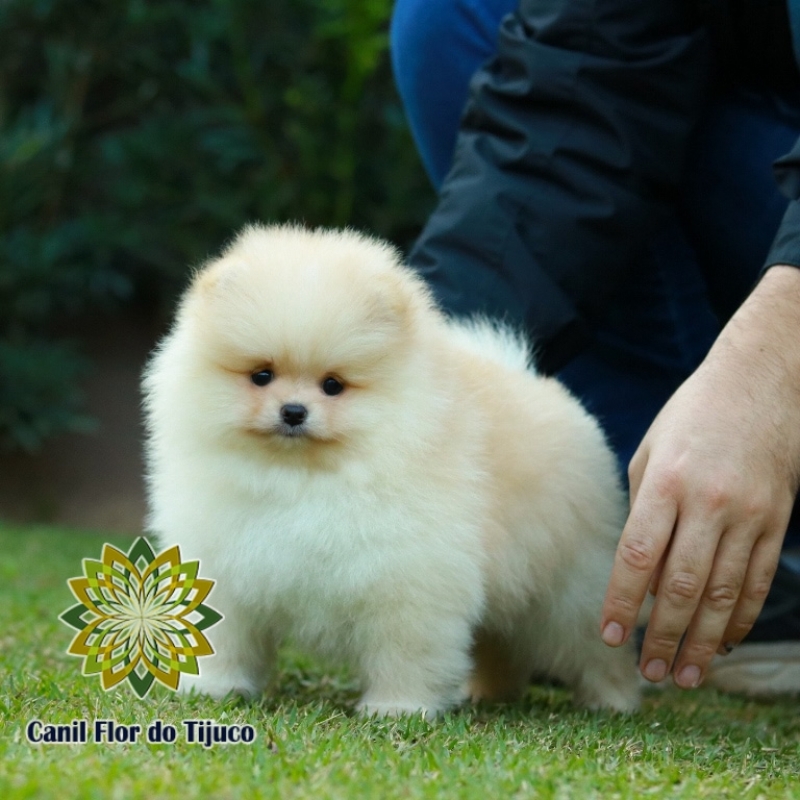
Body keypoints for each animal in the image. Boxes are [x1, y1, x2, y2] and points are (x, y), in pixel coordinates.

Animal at [144, 223, 640, 712]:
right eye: (261, 376)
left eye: (333, 385)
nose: (293, 411)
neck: (301, 478)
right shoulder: (227, 570)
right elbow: (225, 639)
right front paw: (213, 687)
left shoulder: (409, 583)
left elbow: (406, 654)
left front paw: (399, 708)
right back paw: (488, 691)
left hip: (573, 586)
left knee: (594, 647)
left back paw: (614, 700)